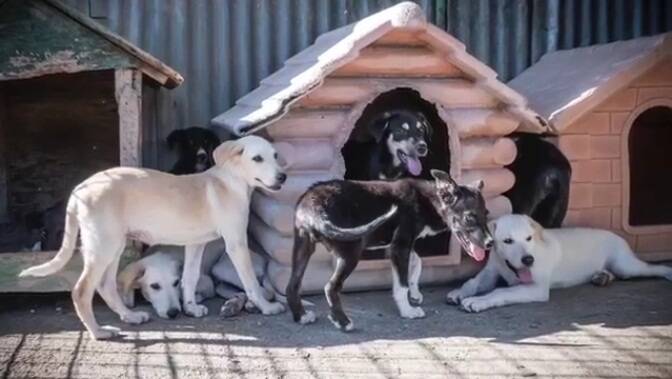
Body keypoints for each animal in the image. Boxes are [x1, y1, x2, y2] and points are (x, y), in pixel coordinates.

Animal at [19, 137, 288, 342]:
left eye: (276, 155)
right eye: (257, 159)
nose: (283, 177)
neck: (232, 181)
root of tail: (79, 189)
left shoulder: (196, 243)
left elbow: (189, 278)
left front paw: (190, 307)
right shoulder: (236, 243)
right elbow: (251, 282)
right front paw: (267, 308)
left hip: (113, 246)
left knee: (106, 285)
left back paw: (130, 316)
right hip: (103, 246)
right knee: (82, 291)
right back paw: (98, 332)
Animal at [446, 215, 672, 314]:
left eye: (528, 238)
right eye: (507, 241)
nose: (529, 260)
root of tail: (617, 235)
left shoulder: (536, 288)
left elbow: (501, 292)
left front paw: (478, 301)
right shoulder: (491, 271)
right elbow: (473, 283)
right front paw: (459, 292)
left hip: (626, 266)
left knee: (653, 268)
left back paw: (668, 273)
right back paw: (601, 277)